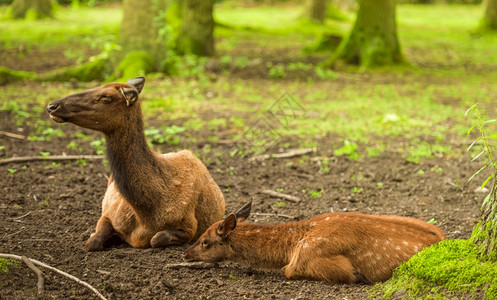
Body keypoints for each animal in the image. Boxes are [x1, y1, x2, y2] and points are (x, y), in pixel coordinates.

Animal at [46, 77, 225, 251]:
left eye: (106, 97)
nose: (52, 106)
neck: (146, 212)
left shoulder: (189, 226)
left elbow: (157, 238)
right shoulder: (109, 214)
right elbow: (93, 242)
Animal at [184, 202, 444, 284]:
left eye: (205, 241)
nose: (185, 254)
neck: (291, 246)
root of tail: (443, 238)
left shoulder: (305, 260)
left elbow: (287, 271)